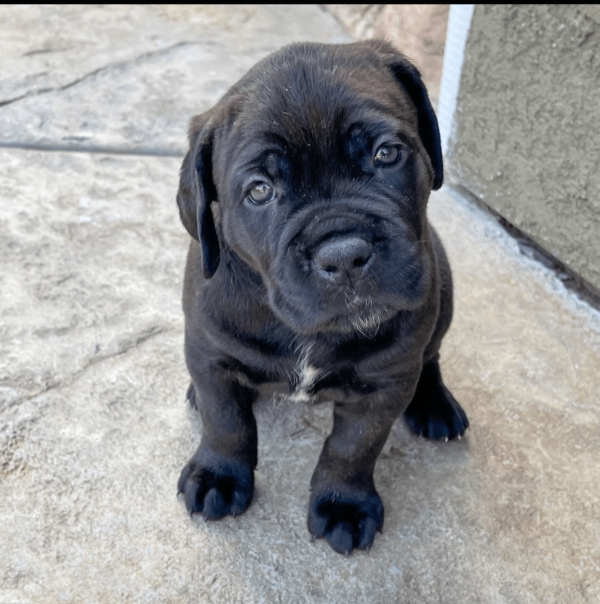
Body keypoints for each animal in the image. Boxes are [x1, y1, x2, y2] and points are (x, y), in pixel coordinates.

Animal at [175, 40, 468, 556]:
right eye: (259, 191)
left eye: (387, 153)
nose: (344, 254)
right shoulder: (209, 351)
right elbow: (225, 420)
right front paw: (217, 475)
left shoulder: (386, 380)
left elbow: (353, 447)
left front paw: (344, 506)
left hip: (442, 293)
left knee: (430, 355)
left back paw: (434, 403)